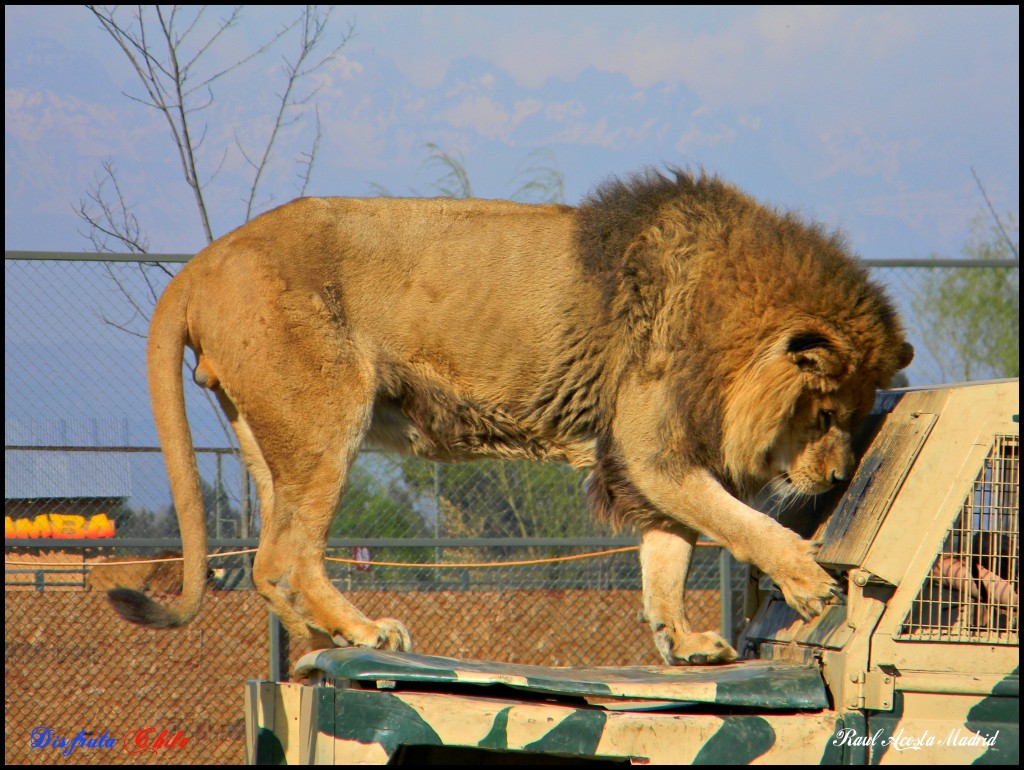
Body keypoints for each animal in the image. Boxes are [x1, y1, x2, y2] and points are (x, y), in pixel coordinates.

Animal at [108, 166, 917, 663]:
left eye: (851, 418)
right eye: (824, 415)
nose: (838, 476)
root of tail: (201, 262)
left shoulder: (650, 463)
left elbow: (669, 553)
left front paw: (682, 642)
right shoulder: (650, 448)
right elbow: (742, 524)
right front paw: (809, 581)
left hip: (267, 440)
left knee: (268, 565)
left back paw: (324, 643)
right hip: (324, 427)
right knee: (285, 556)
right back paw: (365, 632)